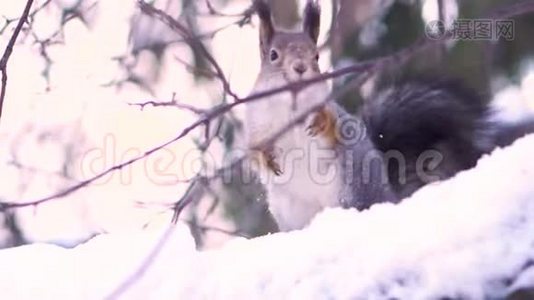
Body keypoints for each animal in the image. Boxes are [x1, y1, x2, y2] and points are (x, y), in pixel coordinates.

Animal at [246, 0, 534, 231]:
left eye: (316, 56)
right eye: (273, 55)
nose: (300, 68)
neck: (290, 106)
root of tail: (390, 197)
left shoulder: (334, 113)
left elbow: (334, 127)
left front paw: (319, 122)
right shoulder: (256, 124)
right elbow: (253, 152)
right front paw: (268, 159)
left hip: (350, 190)